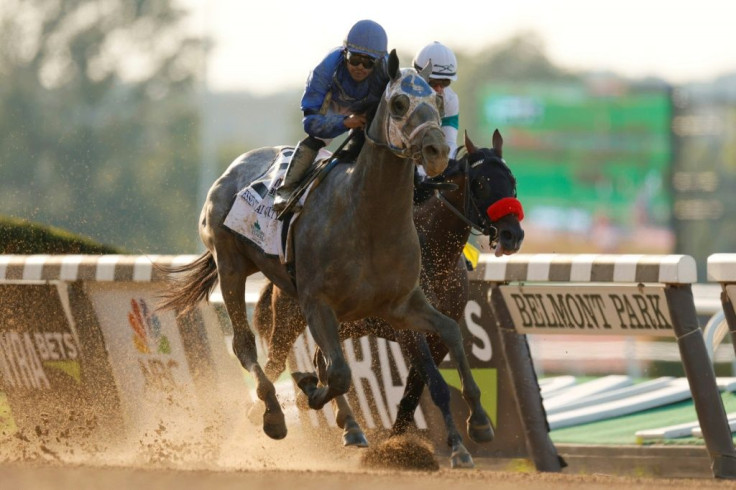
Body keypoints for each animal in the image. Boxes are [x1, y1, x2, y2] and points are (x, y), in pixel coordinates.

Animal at [161, 50, 494, 448]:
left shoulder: (400, 305)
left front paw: (479, 419)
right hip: (232, 267)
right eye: (399, 103)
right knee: (245, 345)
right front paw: (311, 391)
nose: (437, 151)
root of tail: (233, 168)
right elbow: (337, 374)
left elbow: (451, 331)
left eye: (439, 104)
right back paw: (274, 413)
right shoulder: (319, 303)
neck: (368, 220)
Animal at [253, 128, 524, 466]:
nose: (512, 234)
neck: (435, 253)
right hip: (293, 317)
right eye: (481, 183)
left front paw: (400, 445)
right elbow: (436, 386)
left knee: (322, 361)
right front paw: (456, 447)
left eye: (511, 180)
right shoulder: (409, 332)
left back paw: (347, 424)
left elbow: (413, 394)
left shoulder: (436, 335)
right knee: (277, 362)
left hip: (340, 324)